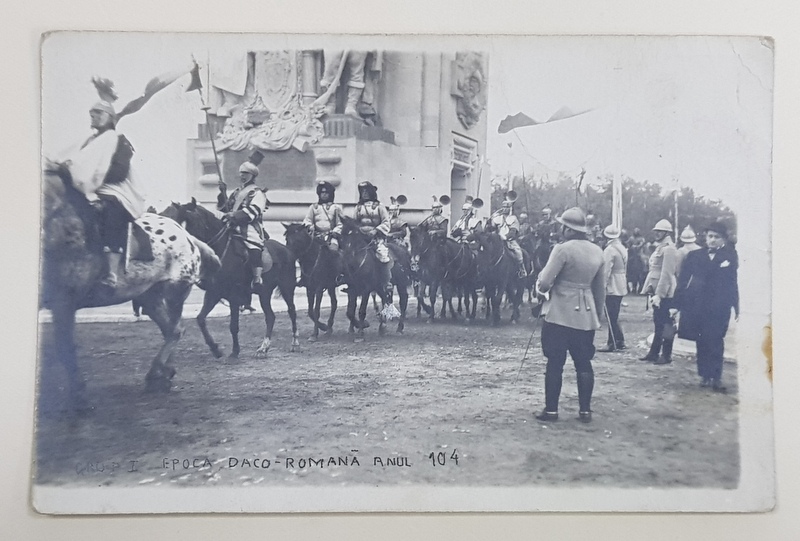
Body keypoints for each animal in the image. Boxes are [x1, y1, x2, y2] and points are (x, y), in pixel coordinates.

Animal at [42, 173, 220, 410]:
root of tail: (186, 236)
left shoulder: (64, 302)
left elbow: (65, 348)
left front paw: (79, 397)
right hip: (149, 297)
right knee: (171, 330)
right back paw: (163, 374)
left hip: (175, 292)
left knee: (175, 330)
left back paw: (157, 374)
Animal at [162, 198, 300, 358]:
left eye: (184, 221)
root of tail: (287, 250)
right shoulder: (213, 293)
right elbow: (201, 319)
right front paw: (215, 349)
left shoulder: (234, 296)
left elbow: (233, 325)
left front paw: (235, 351)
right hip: (264, 293)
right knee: (271, 316)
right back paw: (264, 347)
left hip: (286, 288)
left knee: (291, 311)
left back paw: (293, 343)